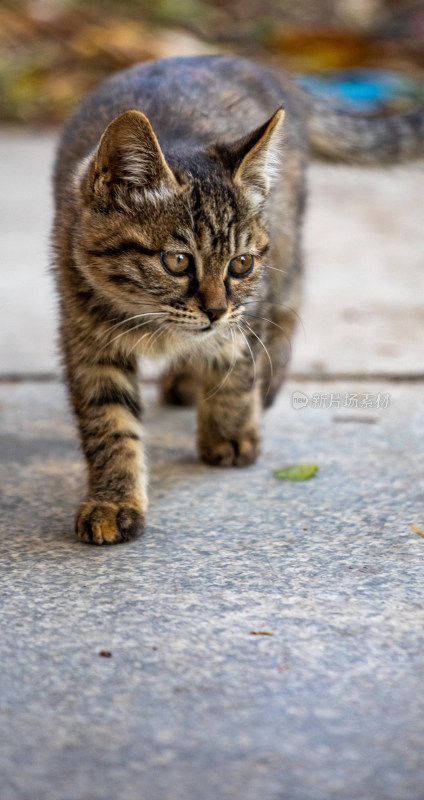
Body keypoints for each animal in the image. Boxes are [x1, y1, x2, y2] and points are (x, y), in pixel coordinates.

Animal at [53, 54, 424, 544]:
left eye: (241, 264)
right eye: (177, 261)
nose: (214, 310)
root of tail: (252, 63)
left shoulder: (243, 312)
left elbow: (234, 366)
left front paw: (229, 430)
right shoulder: (89, 337)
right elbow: (109, 424)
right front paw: (113, 500)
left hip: (286, 248)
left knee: (289, 307)